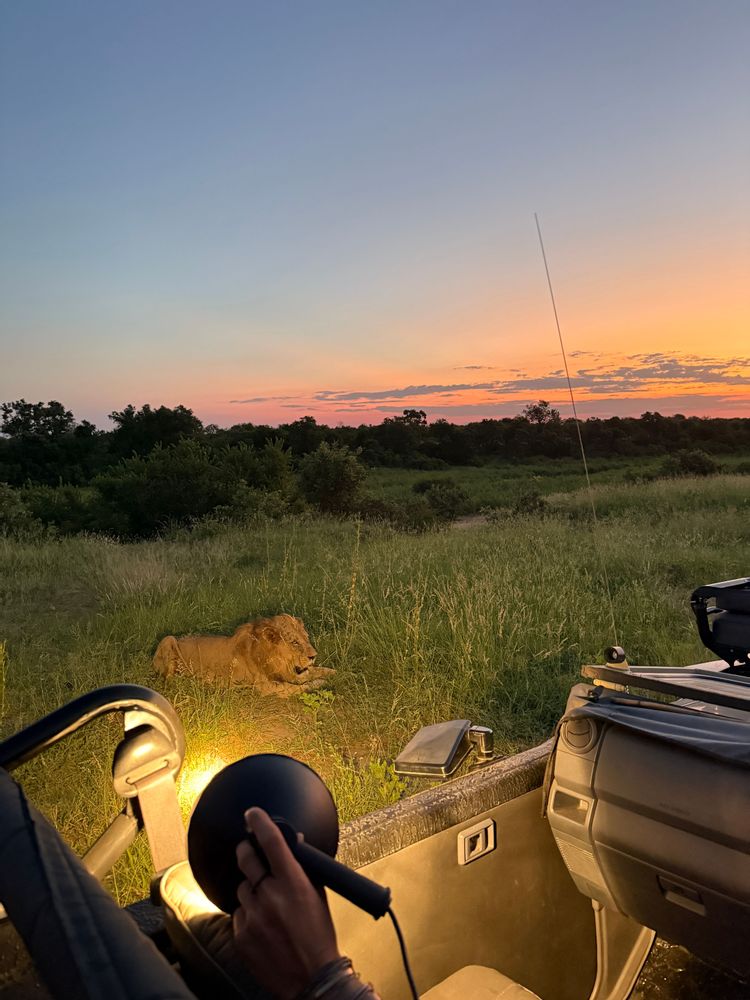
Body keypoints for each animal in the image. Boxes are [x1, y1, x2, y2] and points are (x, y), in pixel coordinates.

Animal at [152, 614, 335, 697]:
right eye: (295, 642)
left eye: (306, 638)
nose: (314, 656)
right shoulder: (266, 688)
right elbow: (302, 686)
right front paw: (323, 682)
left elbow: (314, 672)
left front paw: (334, 673)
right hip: (168, 640)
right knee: (170, 680)